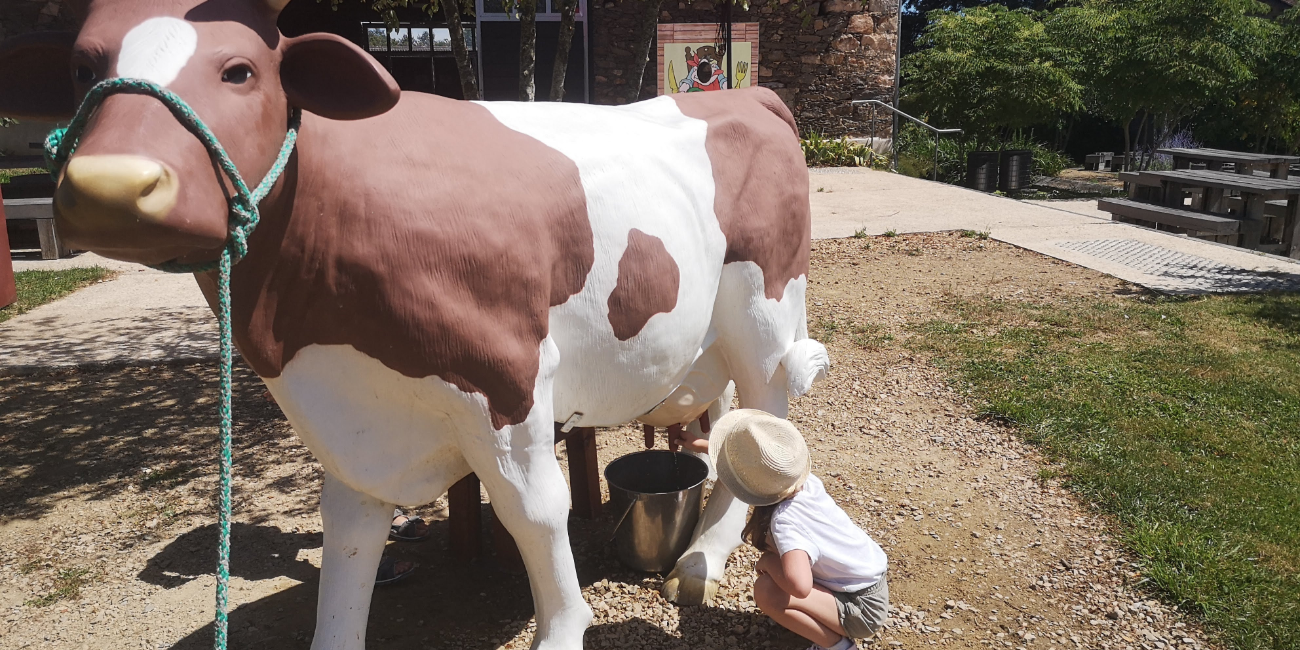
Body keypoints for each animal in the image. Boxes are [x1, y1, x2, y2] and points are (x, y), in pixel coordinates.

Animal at [0, 2, 826, 647]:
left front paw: (562, 629)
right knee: (722, 420)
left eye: (239, 71)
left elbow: (536, 513)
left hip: (764, 310)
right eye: (82, 66)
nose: (110, 185)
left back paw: (703, 559)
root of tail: (744, 97)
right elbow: (348, 528)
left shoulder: (505, 380)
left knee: (765, 413)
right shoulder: (347, 412)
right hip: (709, 340)